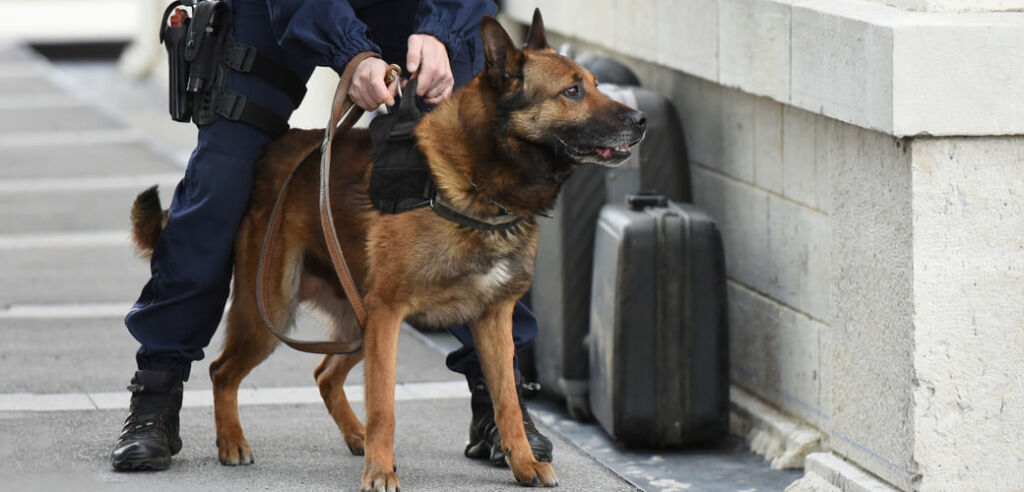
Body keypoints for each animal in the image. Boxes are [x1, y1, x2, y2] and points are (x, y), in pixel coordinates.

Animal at [128, 9, 638, 489]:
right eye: (572, 91)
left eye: (595, 85)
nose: (641, 120)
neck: (472, 183)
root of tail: (277, 152)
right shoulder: (389, 314)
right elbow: (384, 405)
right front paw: (380, 471)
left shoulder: (493, 320)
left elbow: (507, 400)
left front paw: (524, 462)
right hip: (274, 313)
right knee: (222, 370)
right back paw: (232, 440)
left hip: (357, 321)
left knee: (324, 374)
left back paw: (354, 435)